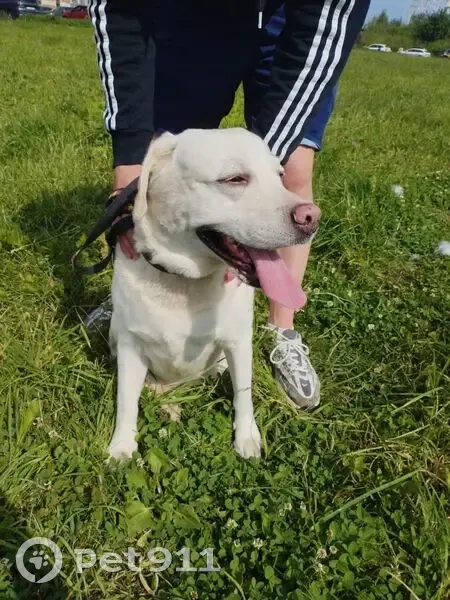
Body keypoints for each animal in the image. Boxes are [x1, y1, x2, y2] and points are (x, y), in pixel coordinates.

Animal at [108, 128, 320, 461]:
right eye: (234, 179)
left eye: (280, 176)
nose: (312, 217)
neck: (184, 284)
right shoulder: (131, 347)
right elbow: (126, 401)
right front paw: (121, 447)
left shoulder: (238, 342)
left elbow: (243, 393)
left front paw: (246, 437)